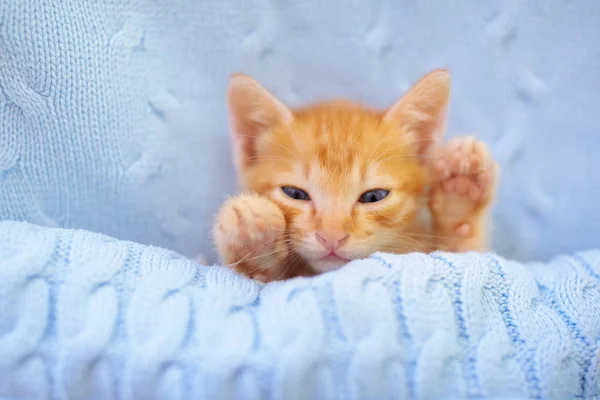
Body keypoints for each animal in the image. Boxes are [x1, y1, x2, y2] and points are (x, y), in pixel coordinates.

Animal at [213, 69, 500, 282]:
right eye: (294, 193)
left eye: (374, 196)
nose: (331, 236)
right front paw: (253, 238)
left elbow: (461, 257)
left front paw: (460, 197)